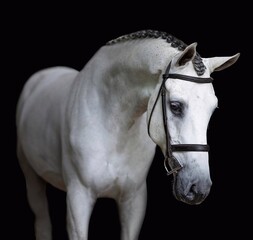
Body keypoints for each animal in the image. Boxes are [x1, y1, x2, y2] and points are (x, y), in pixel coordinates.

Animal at [15, 30, 239, 240]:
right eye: (175, 106)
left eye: (213, 109)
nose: (198, 188)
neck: (113, 127)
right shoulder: (78, 199)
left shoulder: (134, 200)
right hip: (32, 180)